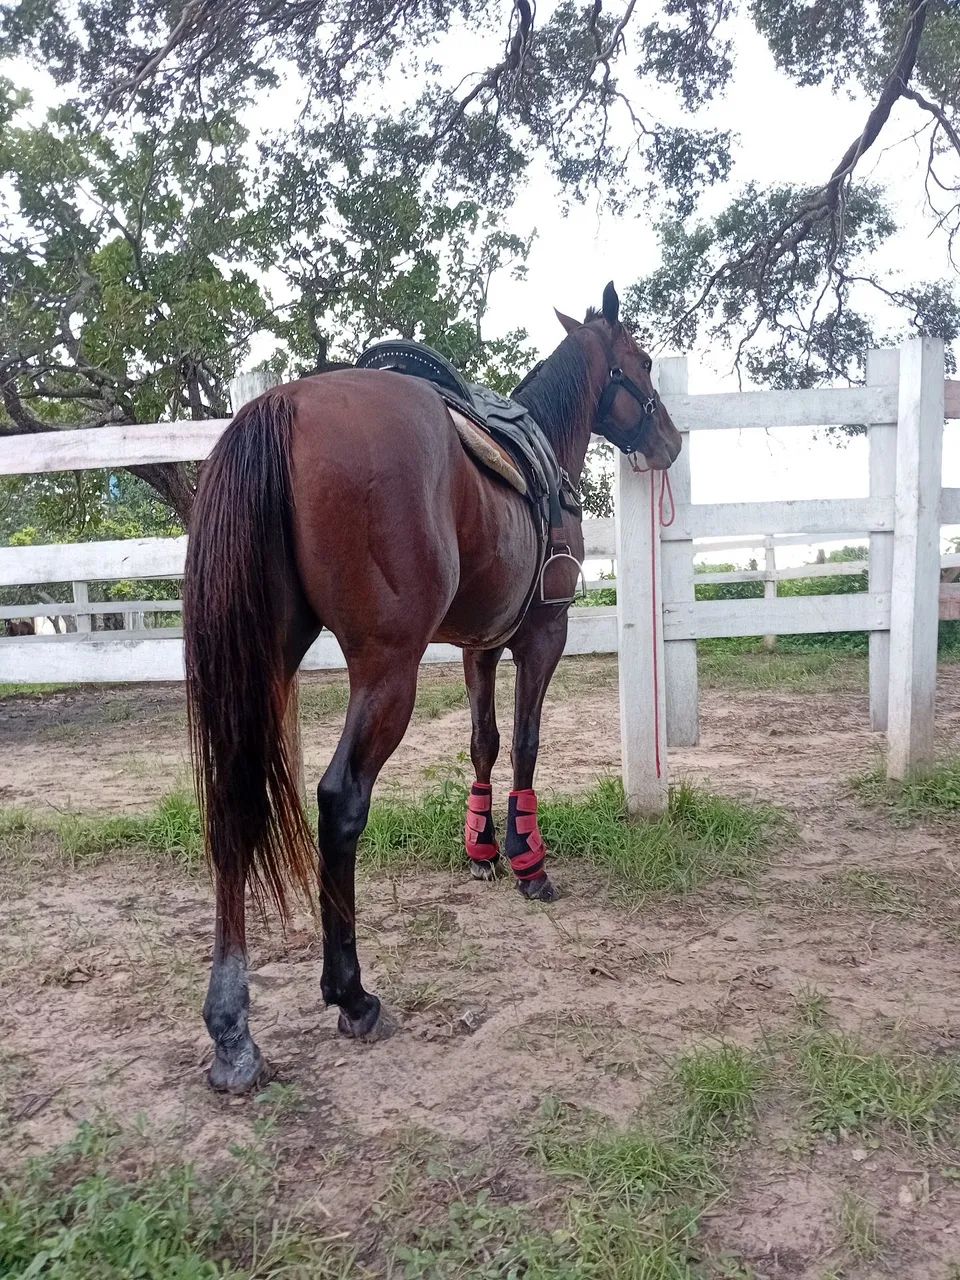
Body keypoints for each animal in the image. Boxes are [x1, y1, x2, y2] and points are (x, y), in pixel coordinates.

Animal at [183, 281, 681, 1092]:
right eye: (638, 361)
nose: (669, 440)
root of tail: (281, 406)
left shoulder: (480, 648)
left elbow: (484, 743)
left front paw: (483, 846)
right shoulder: (542, 637)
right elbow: (527, 743)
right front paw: (528, 859)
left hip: (262, 665)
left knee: (234, 805)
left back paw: (232, 1030)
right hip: (388, 670)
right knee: (340, 800)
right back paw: (350, 992)